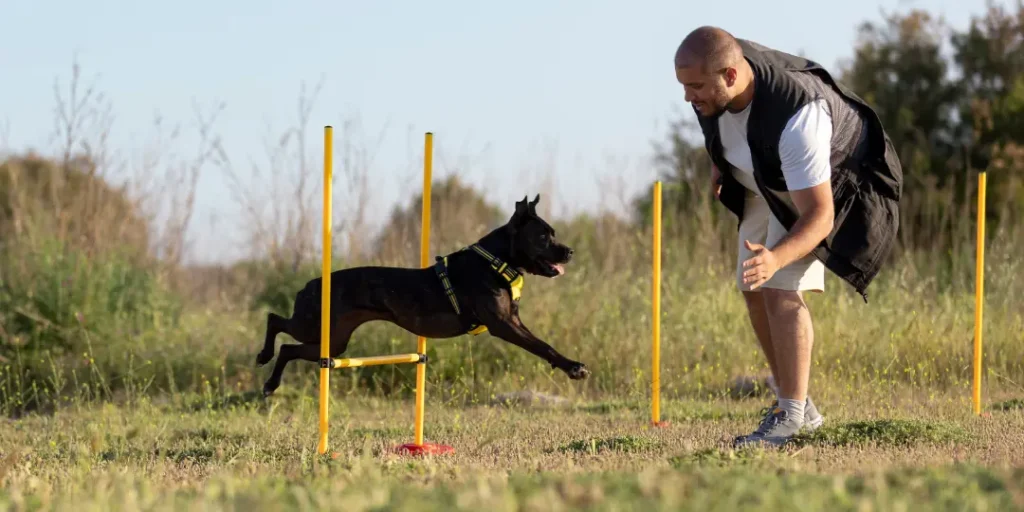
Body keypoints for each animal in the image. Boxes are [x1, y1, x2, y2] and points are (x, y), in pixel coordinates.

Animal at [256, 193, 589, 397]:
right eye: (543, 236)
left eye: (553, 233)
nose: (571, 251)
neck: (495, 260)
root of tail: (311, 284)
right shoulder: (503, 324)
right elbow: (542, 345)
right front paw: (574, 368)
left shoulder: (513, 321)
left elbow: (544, 344)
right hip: (315, 326)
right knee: (275, 321)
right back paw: (264, 360)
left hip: (333, 342)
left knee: (289, 348)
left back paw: (270, 381)